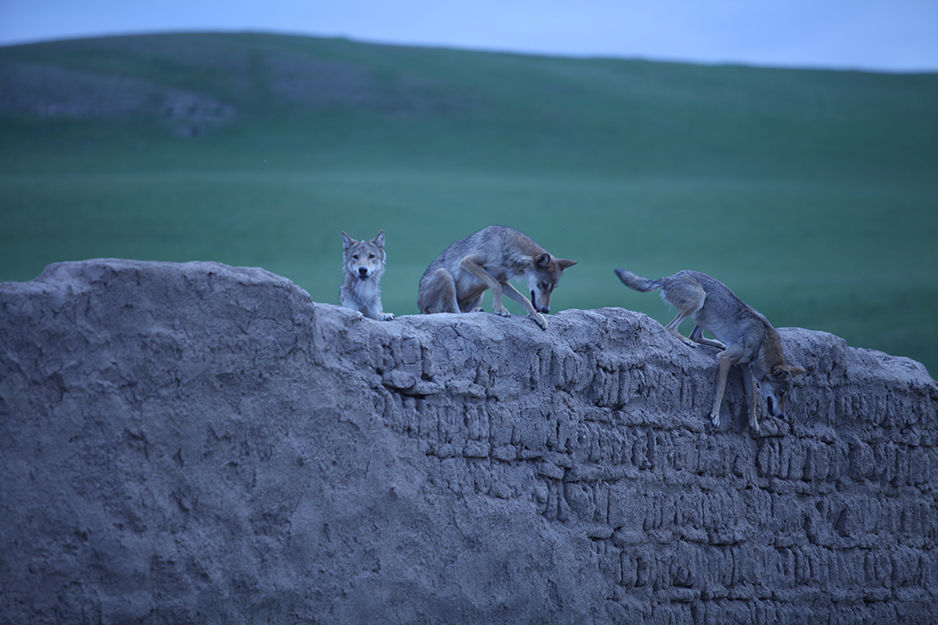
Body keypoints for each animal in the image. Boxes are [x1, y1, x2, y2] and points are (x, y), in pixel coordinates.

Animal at [414, 225, 576, 332]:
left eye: (554, 288)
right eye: (543, 284)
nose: (546, 310)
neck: (506, 249)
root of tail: (421, 309)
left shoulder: (502, 281)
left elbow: (524, 299)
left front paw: (537, 316)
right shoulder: (468, 262)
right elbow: (496, 288)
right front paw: (500, 309)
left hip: (479, 294)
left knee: (461, 311)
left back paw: (475, 311)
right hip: (444, 274)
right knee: (455, 312)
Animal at [616, 268, 804, 428]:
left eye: (787, 395)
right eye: (781, 393)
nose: (782, 416)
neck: (762, 342)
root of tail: (671, 277)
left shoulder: (745, 368)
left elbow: (752, 398)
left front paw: (754, 423)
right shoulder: (726, 359)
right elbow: (720, 391)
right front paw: (715, 416)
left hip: (702, 314)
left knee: (695, 335)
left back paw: (716, 343)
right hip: (699, 299)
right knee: (671, 328)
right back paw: (689, 342)